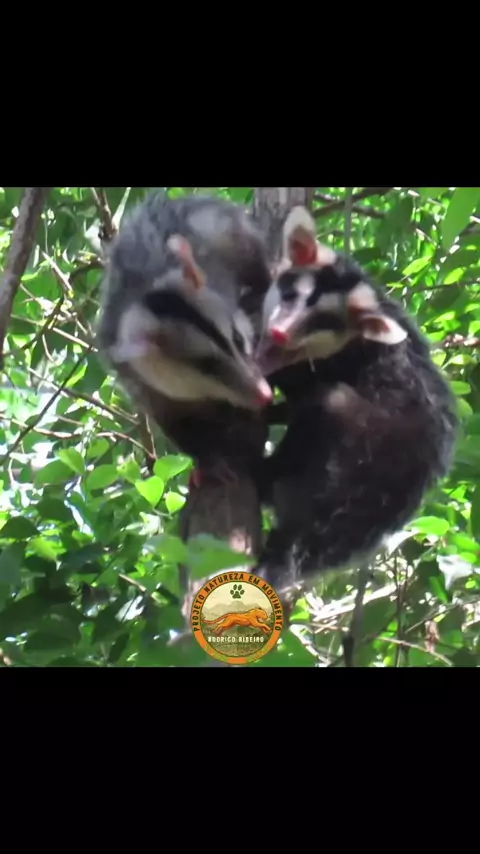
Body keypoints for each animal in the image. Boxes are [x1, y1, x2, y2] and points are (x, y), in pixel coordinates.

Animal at [254, 206, 459, 601]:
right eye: (289, 294)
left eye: (321, 322)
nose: (279, 334)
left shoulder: (344, 361)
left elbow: (300, 388)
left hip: (357, 456)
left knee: (328, 405)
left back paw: (264, 473)